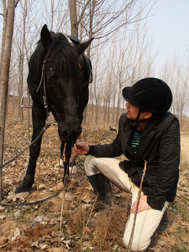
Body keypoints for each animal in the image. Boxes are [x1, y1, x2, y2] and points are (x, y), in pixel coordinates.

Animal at [15, 24, 93, 193]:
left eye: (80, 79)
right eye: (51, 78)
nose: (72, 130)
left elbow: (69, 147)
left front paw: (65, 178)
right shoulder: (37, 106)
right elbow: (35, 146)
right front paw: (26, 183)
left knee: (69, 143)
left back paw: (69, 165)